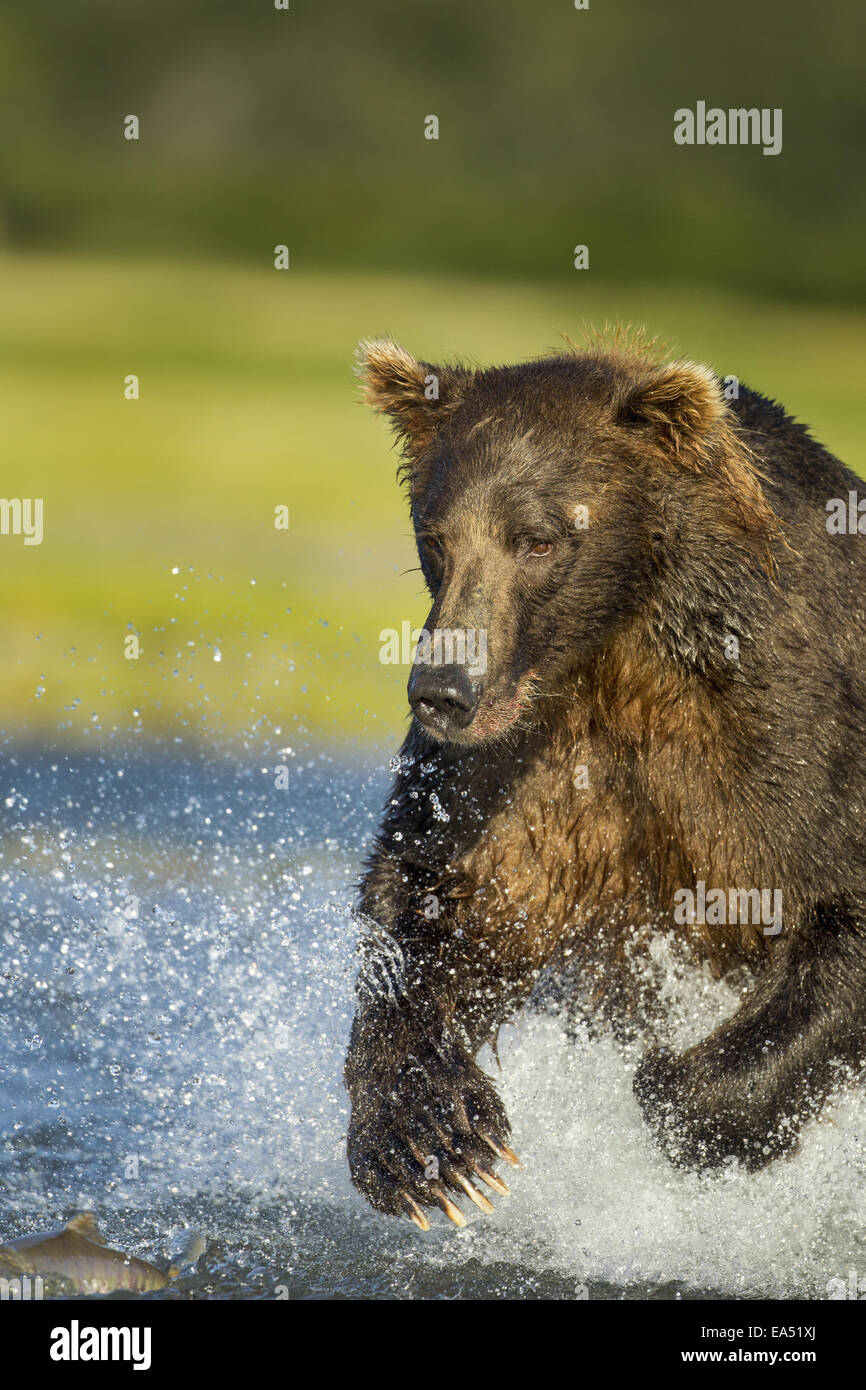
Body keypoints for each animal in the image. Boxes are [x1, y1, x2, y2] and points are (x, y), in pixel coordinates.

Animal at [343, 331, 866, 1230]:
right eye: (436, 535)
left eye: (538, 538)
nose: (442, 690)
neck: (618, 646)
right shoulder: (521, 769)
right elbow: (440, 896)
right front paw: (431, 1141)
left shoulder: (789, 730)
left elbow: (835, 906)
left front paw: (677, 1087)